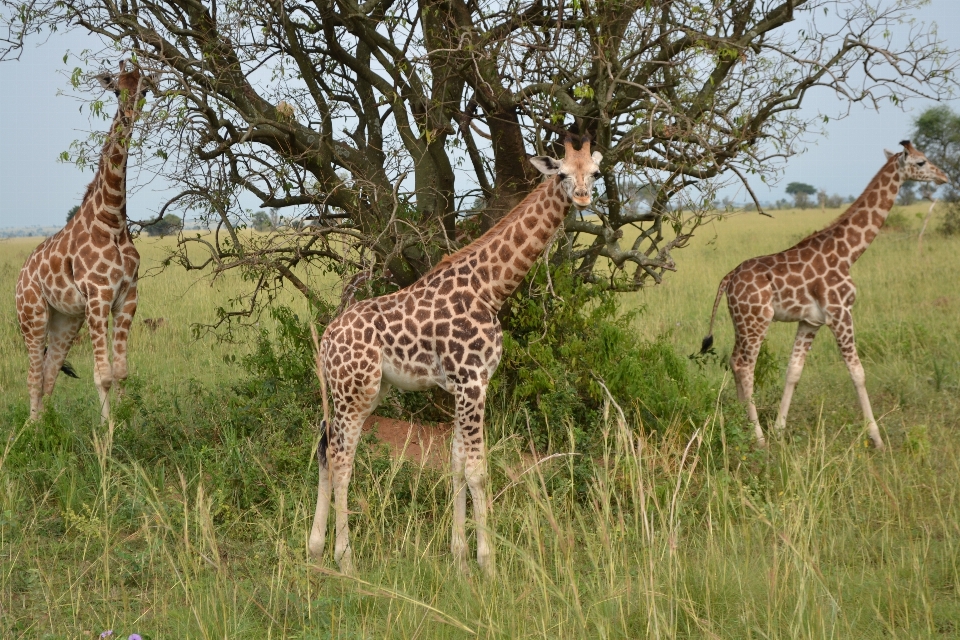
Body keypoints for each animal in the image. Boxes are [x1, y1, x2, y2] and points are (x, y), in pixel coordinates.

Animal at [16, 62, 154, 428]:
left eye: (144, 89)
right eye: (117, 90)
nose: (130, 115)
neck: (112, 220)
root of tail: (21, 276)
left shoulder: (127, 297)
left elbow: (121, 372)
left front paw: (128, 423)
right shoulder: (99, 295)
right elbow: (102, 375)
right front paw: (108, 433)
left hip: (65, 320)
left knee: (49, 373)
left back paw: (47, 427)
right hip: (32, 316)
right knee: (33, 376)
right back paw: (32, 431)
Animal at [308, 135, 604, 576]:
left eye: (595, 172)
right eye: (563, 174)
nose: (583, 196)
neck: (491, 288)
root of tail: (326, 338)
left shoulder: (465, 386)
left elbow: (456, 464)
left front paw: (460, 559)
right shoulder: (473, 381)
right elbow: (478, 470)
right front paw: (489, 564)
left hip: (355, 392)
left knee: (327, 450)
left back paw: (314, 549)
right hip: (355, 391)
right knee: (342, 457)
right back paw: (345, 559)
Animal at [700, 142, 948, 448]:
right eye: (921, 162)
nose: (944, 177)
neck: (848, 252)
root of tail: (728, 279)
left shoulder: (811, 321)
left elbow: (793, 371)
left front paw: (780, 429)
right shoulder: (840, 312)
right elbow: (858, 373)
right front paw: (877, 438)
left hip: (742, 321)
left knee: (735, 363)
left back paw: (743, 426)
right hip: (757, 319)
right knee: (745, 366)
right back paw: (758, 439)